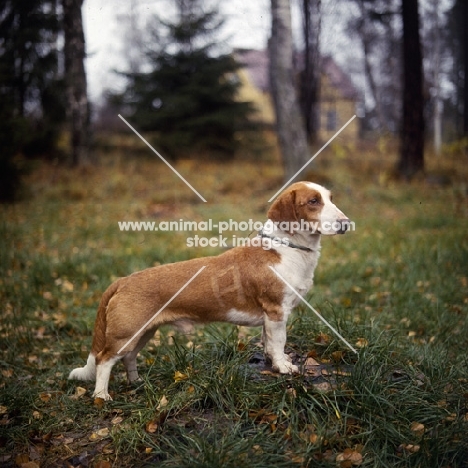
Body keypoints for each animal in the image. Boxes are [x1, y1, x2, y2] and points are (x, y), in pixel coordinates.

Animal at [68, 181, 348, 400]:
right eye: (313, 201)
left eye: (331, 198)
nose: (346, 224)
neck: (286, 248)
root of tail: (123, 280)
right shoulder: (276, 312)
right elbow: (279, 343)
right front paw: (283, 367)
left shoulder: (270, 319)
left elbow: (268, 343)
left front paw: (274, 363)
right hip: (125, 335)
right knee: (104, 360)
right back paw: (101, 396)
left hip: (143, 333)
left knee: (128, 358)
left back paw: (136, 382)